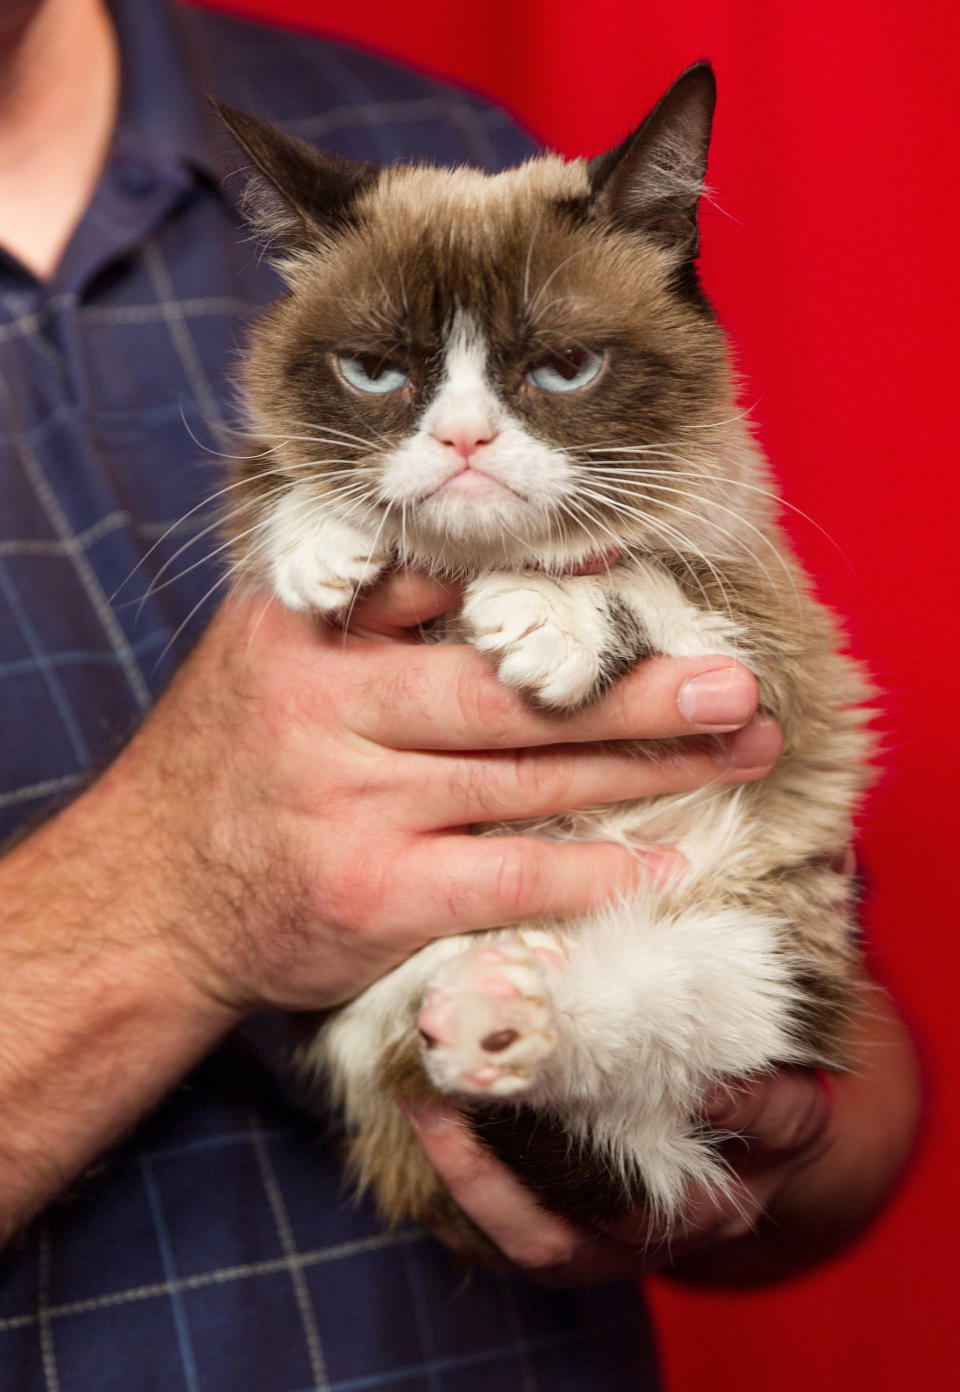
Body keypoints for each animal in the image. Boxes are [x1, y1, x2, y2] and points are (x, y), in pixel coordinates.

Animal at [212, 59, 873, 1247]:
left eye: (564, 370)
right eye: (375, 373)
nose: (464, 440)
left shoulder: (774, 633)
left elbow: (655, 580)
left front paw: (548, 618)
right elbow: (270, 473)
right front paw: (322, 542)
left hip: (770, 937)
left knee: (647, 1048)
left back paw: (505, 1018)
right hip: (388, 991)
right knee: (428, 1062)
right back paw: (478, 1015)